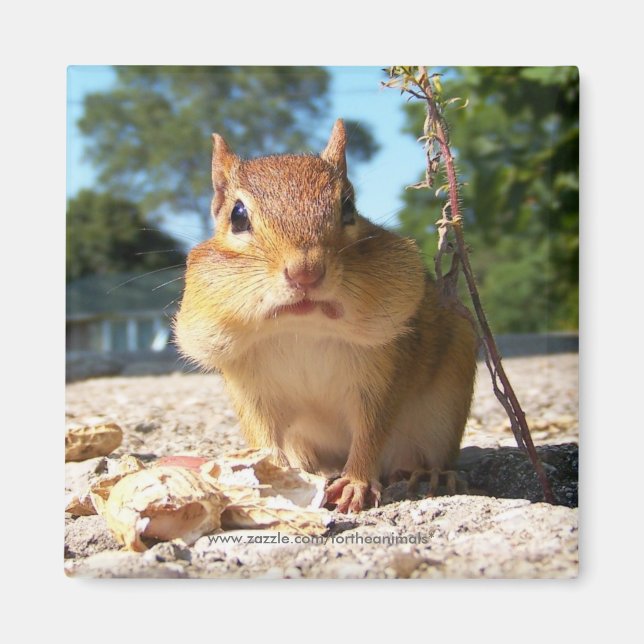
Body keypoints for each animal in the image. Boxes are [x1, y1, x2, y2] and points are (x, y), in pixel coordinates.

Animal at [175, 119, 478, 513]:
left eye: (348, 206)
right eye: (237, 216)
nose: (305, 272)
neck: (303, 330)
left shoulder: (384, 374)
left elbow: (371, 431)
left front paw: (356, 483)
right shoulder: (249, 388)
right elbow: (263, 438)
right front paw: (268, 479)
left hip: (445, 411)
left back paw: (430, 474)